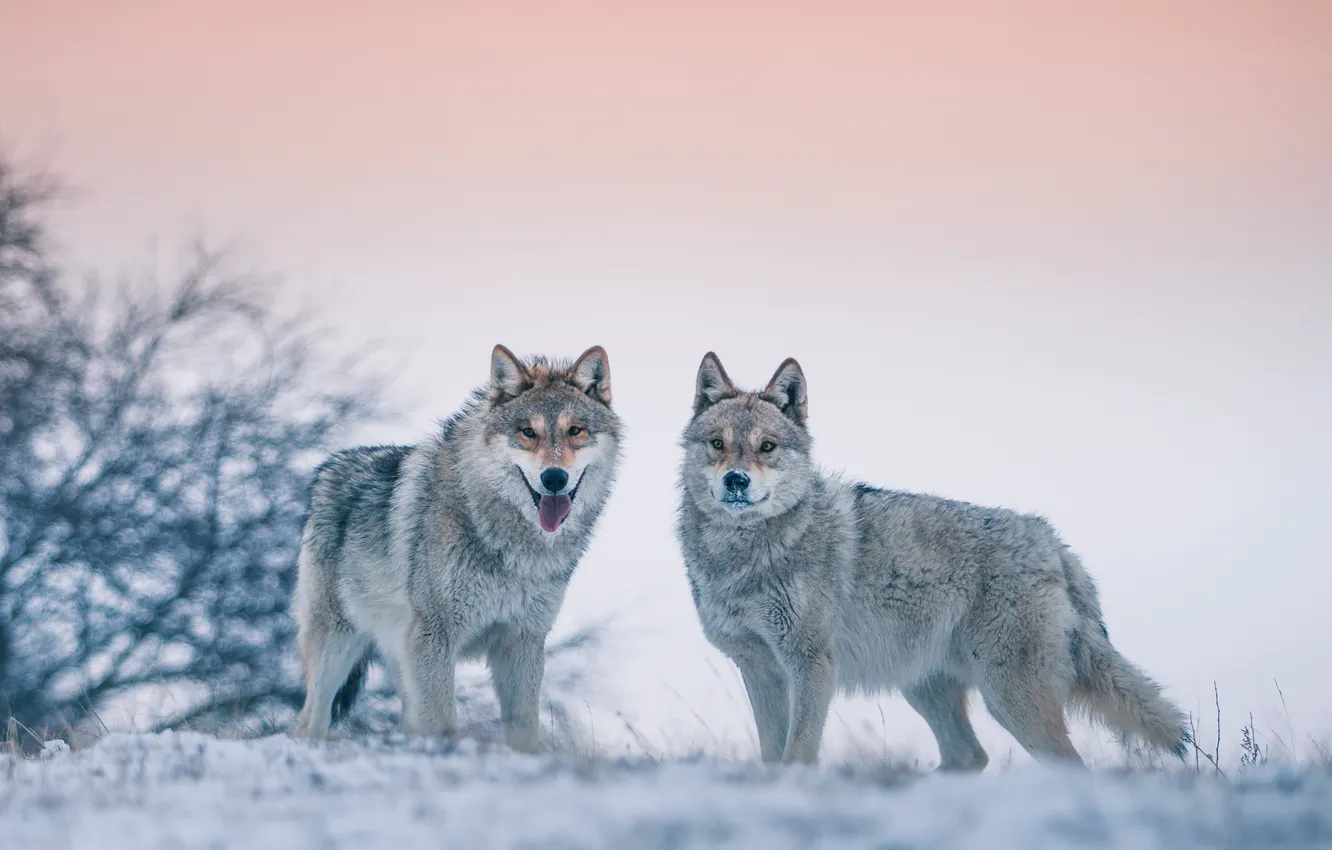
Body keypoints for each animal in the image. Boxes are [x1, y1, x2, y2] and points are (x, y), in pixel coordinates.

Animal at [292, 344, 621, 751]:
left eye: (575, 430)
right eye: (528, 432)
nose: (554, 478)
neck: (511, 544)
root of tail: (328, 467)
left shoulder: (522, 641)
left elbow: (523, 728)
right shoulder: (435, 636)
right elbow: (444, 726)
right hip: (337, 647)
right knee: (310, 722)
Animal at [676, 352, 1187, 769]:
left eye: (767, 446)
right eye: (718, 444)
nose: (736, 481)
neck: (742, 556)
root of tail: (1054, 542)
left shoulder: (811, 665)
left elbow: (797, 753)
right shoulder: (758, 668)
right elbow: (771, 754)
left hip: (1009, 698)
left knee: (1065, 764)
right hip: (927, 689)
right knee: (971, 755)